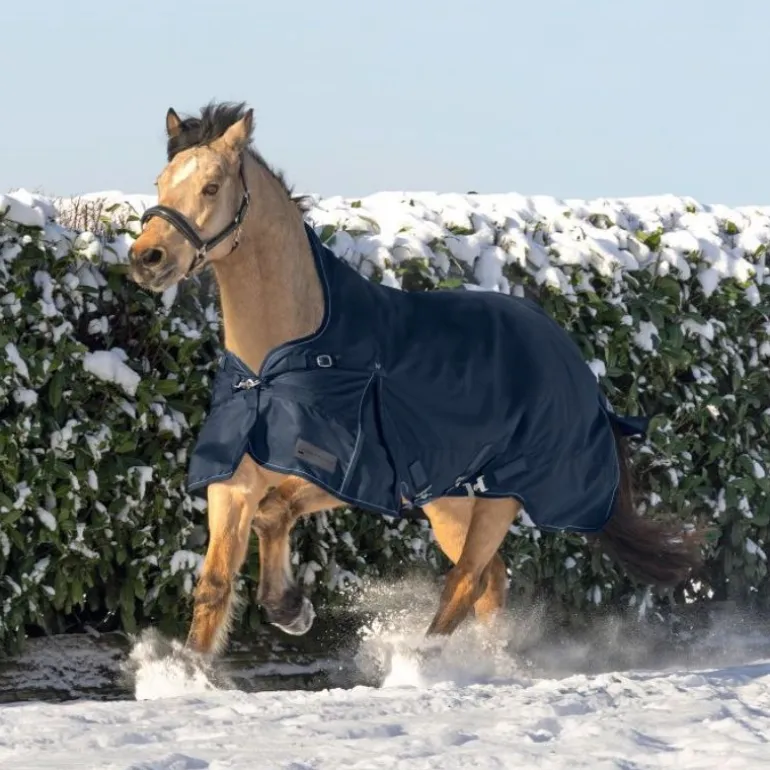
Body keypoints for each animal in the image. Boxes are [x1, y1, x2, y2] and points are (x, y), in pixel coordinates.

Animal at [127, 101, 704, 658]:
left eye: (211, 186)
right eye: (160, 181)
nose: (146, 258)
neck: (273, 368)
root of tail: (572, 358)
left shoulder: (347, 476)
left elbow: (275, 512)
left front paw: (292, 610)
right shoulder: (234, 482)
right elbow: (214, 585)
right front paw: (187, 673)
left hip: (501, 496)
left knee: (466, 581)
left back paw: (421, 663)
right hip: (449, 500)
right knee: (490, 582)